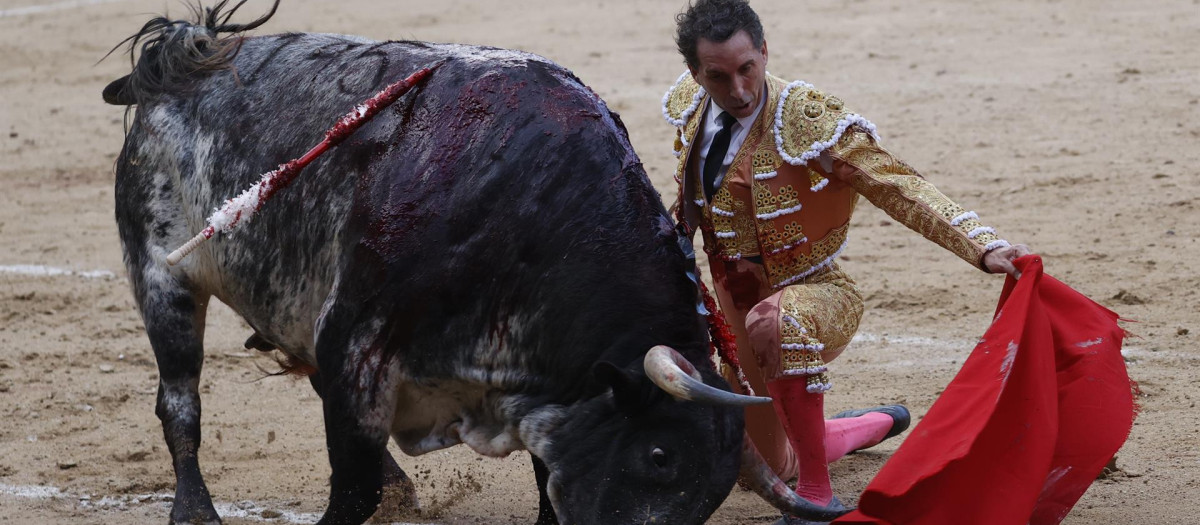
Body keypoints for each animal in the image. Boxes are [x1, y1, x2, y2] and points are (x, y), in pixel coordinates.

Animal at [105, 6, 854, 522]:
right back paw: (195, 510)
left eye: (711, 493)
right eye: (660, 454)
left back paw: (399, 491)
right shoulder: (356, 345)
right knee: (180, 400)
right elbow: (347, 490)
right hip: (162, 277)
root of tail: (183, 57)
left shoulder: (547, 395)